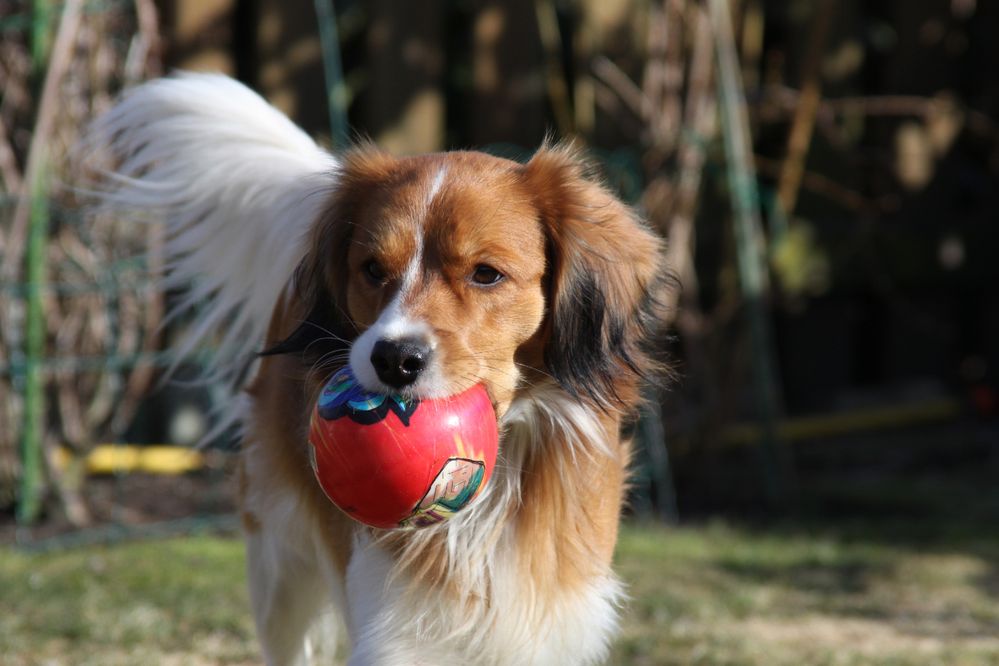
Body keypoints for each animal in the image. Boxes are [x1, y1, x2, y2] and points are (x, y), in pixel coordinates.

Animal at [92, 74, 672, 664]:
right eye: (372, 269)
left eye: (486, 274)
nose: (393, 359)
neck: (496, 490)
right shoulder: (394, 629)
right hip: (280, 574)